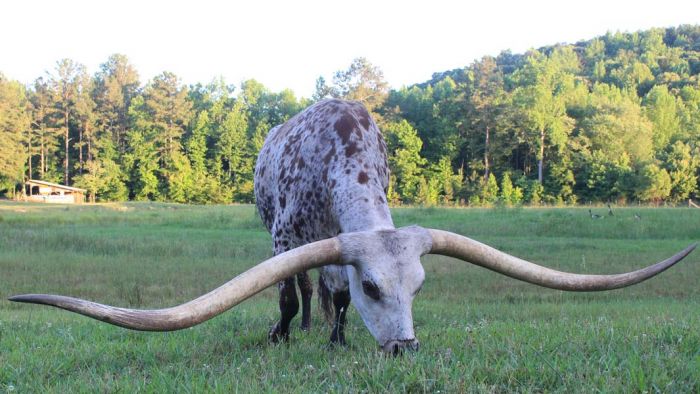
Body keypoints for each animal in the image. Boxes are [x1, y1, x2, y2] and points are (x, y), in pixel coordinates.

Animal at [9, 100, 696, 356]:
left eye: (418, 288)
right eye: (376, 288)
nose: (404, 348)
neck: (343, 153)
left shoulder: (339, 245)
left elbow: (334, 294)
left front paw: (339, 337)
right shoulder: (288, 237)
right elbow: (292, 293)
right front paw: (282, 334)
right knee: (302, 288)